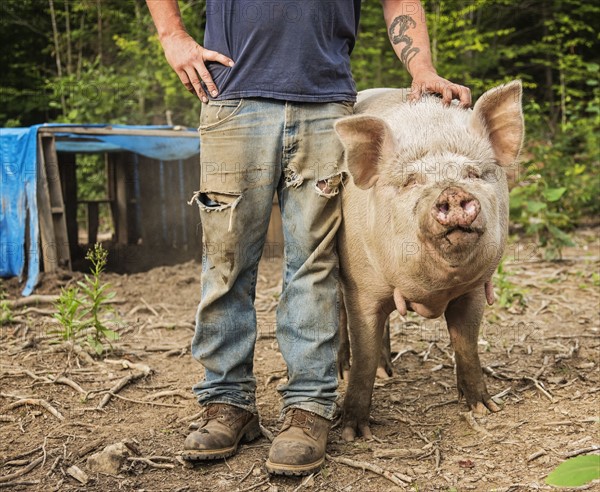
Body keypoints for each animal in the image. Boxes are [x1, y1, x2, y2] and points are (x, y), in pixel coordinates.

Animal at [336, 80, 524, 442]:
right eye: (411, 180)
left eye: (472, 173)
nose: (451, 192)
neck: (436, 292)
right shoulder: (361, 287)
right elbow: (363, 351)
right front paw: (352, 432)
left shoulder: (473, 290)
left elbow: (466, 344)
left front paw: (485, 408)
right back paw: (345, 371)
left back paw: (388, 371)